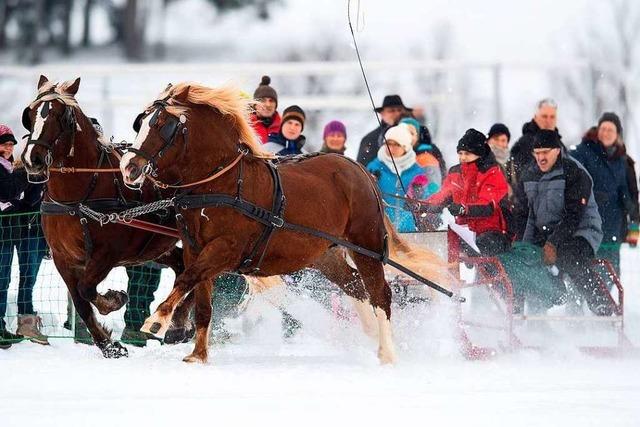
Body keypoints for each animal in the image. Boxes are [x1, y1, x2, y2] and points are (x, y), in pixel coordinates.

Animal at [120, 83, 450, 364]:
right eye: (141, 122)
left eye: (163, 125)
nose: (128, 168)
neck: (223, 182)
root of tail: (361, 171)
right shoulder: (195, 249)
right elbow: (200, 300)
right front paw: (198, 356)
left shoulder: (226, 249)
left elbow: (186, 279)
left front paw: (157, 320)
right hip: (326, 256)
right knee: (356, 286)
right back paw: (370, 335)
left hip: (365, 246)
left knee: (380, 293)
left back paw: (388, 352)